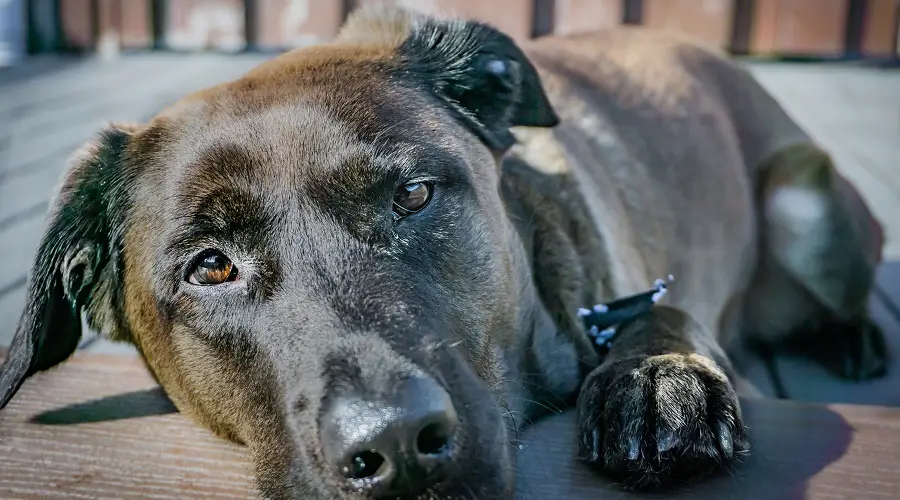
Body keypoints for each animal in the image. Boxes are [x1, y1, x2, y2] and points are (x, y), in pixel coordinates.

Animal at [0, 4, 884, 500]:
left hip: (802, 206)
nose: (396, 446)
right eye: (210, 266)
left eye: (415, 194)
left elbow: (667, 312)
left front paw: (657, 376)